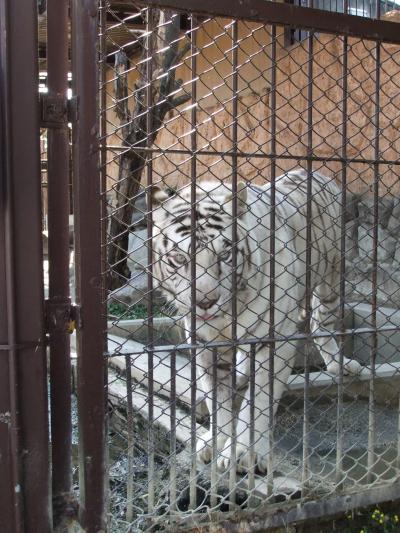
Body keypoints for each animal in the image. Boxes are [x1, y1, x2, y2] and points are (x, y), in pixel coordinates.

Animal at [151, 168, 362, 472]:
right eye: (179, 258)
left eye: (225, 255)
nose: (205, 302)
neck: (227, 315)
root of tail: (312, 171)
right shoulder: (204, 344)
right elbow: (217, 399)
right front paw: (214, 442)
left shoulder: (273, 339)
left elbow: (258, 401)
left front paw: (244, 454)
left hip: (330, 281)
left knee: (320, 322)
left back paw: (340, 365)